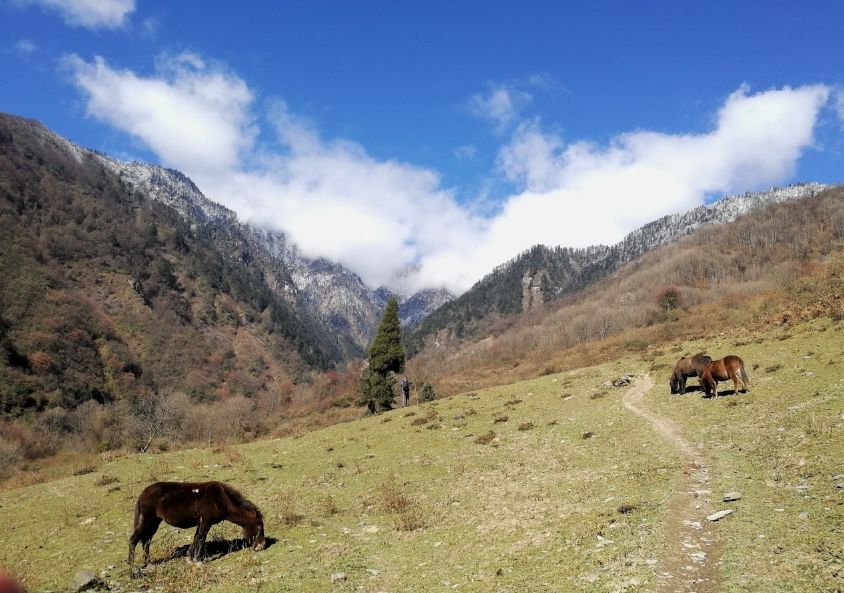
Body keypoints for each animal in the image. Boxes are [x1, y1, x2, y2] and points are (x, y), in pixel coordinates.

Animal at [129, 478, 266, 568]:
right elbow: (201, 538)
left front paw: (191, 558)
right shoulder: (206, 522)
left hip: (154, 522)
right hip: (147, 520)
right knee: (134, 539)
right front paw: (199, 560)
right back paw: (132, 567)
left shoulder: (200, 522)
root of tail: (143, 494)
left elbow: (196, 538)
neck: (221, 499)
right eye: (259, 527)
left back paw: (149, 563)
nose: (262, 546)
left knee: (146, 541)